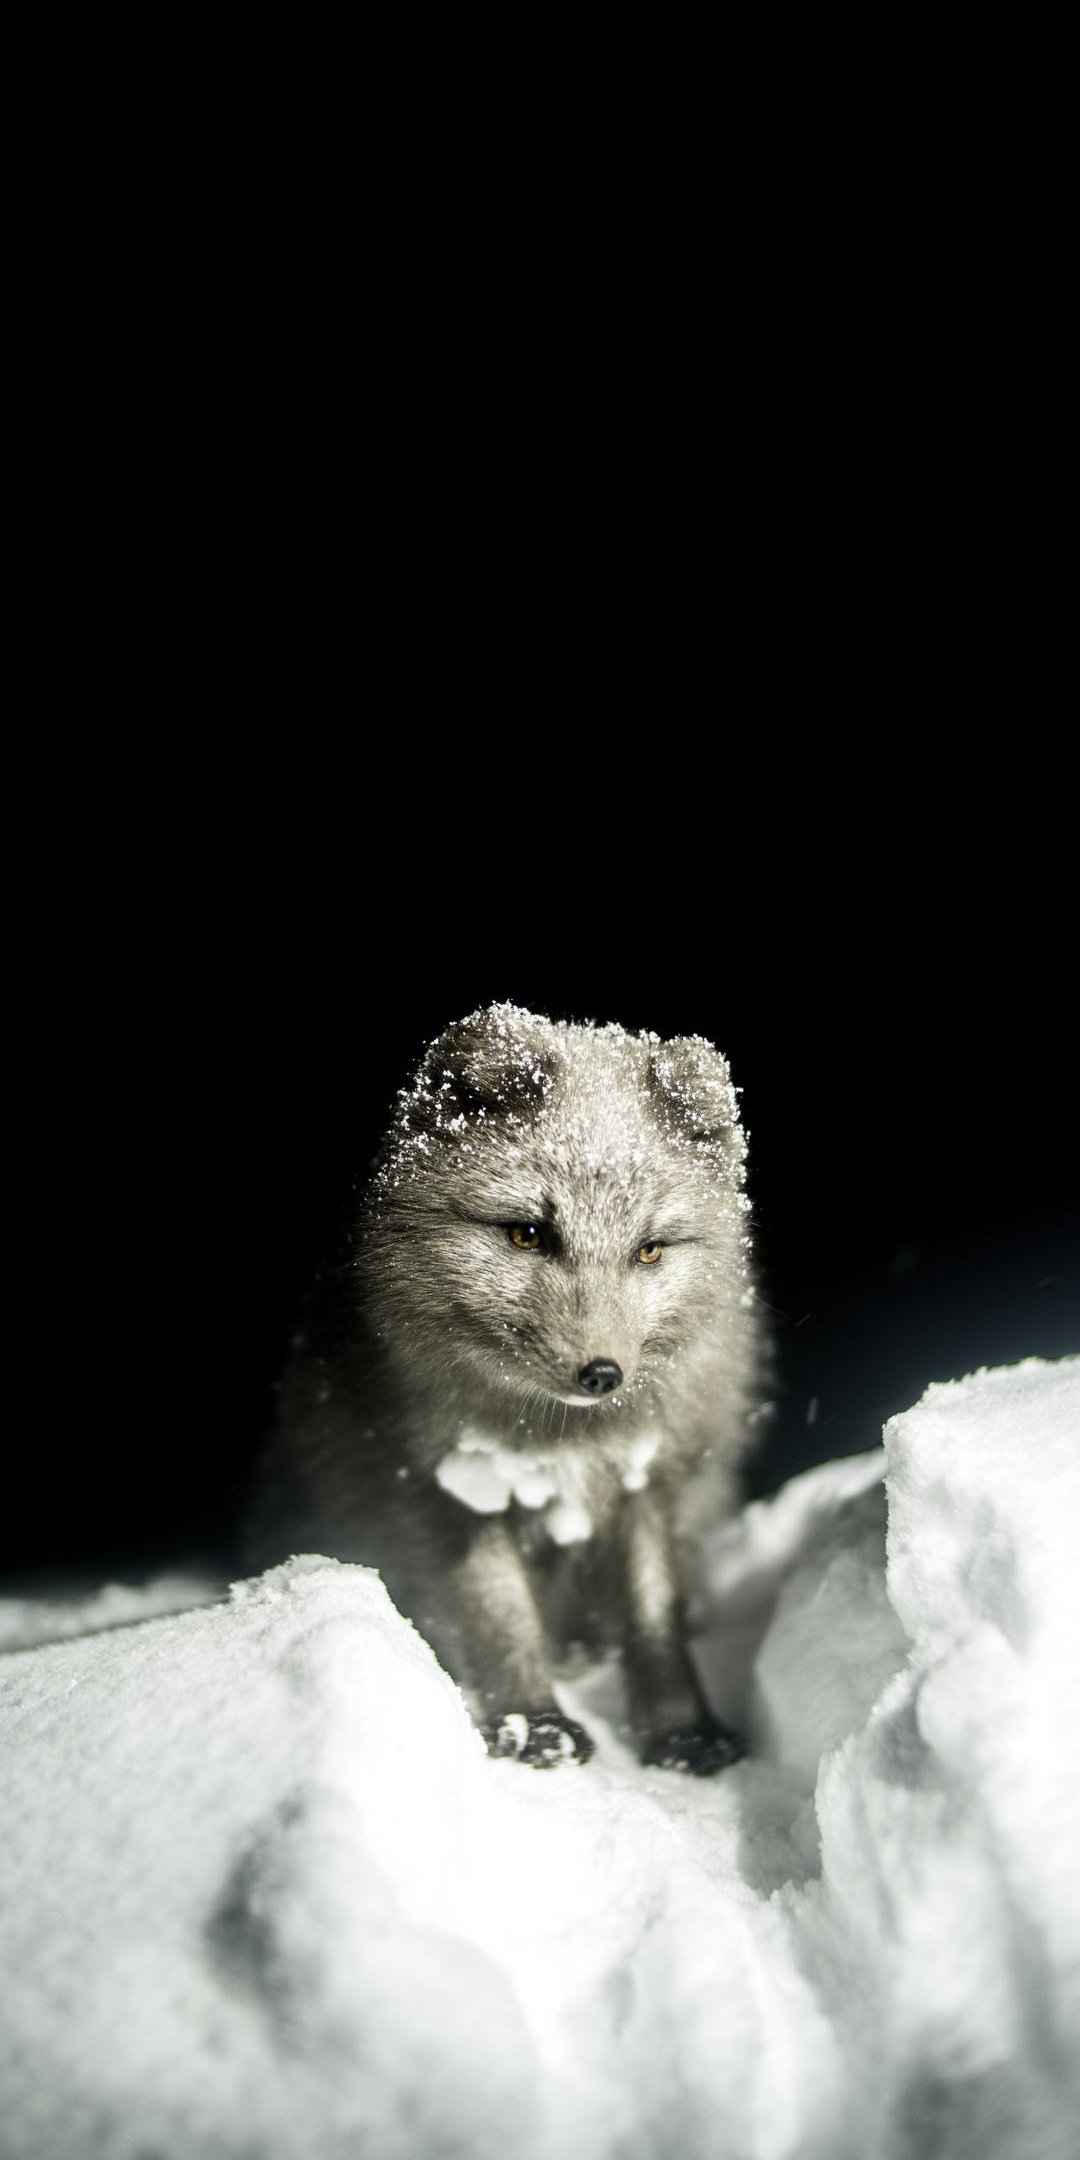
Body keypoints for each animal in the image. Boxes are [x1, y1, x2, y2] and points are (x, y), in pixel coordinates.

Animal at [248, 1002, 764, 1762]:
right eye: (527, 1234)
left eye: (649, 1250)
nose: (601, 1373)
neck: (561, 1440)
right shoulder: (444, 1490)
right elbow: (498, 1613)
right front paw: (532, 1724)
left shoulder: (648, 1478)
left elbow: (653, 1614)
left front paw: (683, 1731)